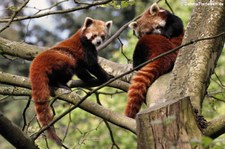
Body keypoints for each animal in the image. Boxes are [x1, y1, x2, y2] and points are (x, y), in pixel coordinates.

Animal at [29, 16, 113, 145]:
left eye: (103, 36)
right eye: (94, 35)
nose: (99, 42)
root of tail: (37, 62)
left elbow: (81, 70)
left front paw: (89, 78)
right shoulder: (85, 48)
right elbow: (92, 65)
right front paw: (106, 76)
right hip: (61, 58)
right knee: (68, 67)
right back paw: (61, 84)